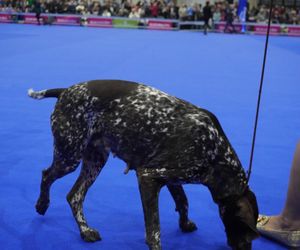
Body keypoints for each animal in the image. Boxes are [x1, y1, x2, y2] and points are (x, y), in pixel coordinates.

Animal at [27, 80, 258, 250]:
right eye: (248, 233)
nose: (245, 248)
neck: (214, 150)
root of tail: (66, 91)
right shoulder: (148, 176)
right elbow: (154, 229)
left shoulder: (172, 178)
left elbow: (183, 202)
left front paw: (184, 224)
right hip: (70, 157)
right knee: (47, 175)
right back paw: (43, 205)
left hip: (94, 160)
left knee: (74, 196)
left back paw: (85, 230)